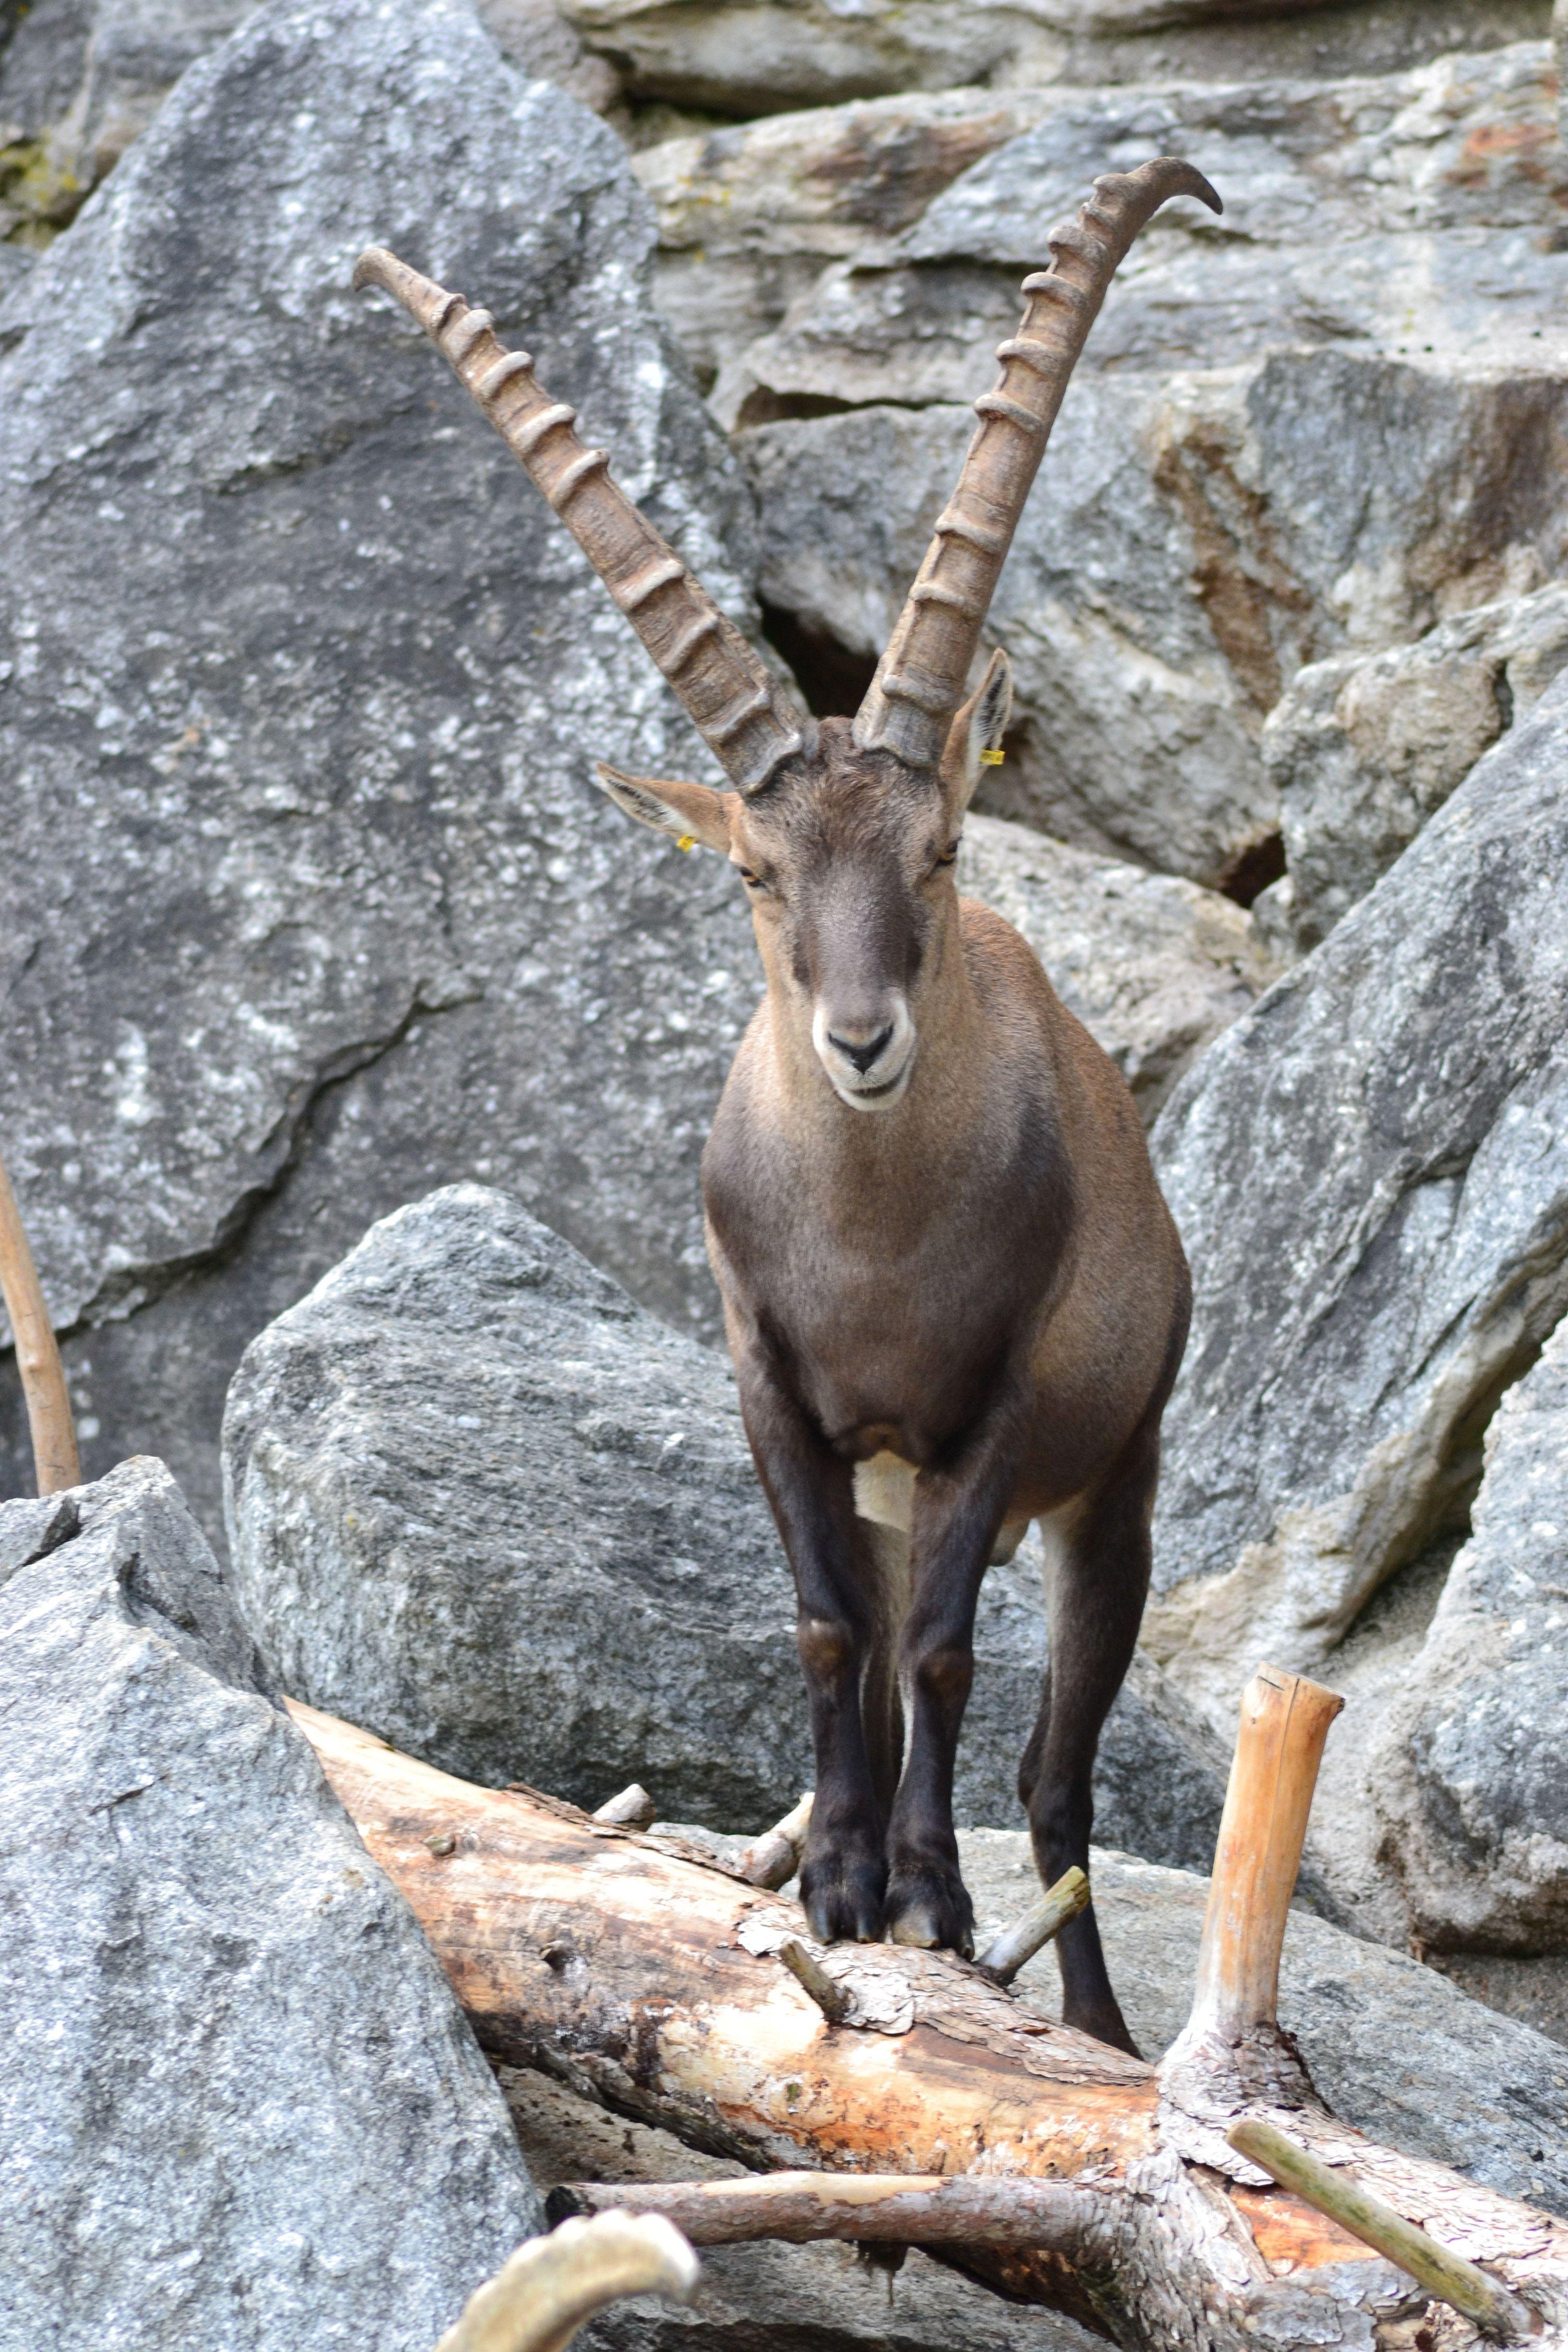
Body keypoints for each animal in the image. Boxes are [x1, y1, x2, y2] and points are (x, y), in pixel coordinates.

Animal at [355, 153, 1216, 2051]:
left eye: (943, 848)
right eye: (756, 871)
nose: (863, 1039)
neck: (876, 1247)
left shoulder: (992, 1408)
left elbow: (949, 1658)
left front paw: (927, 1905)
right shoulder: (776, 1384)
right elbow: (832, 1638)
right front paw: (830, 1887)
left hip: (1113, 1481)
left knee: (1055, 1774)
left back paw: (1090, 2020)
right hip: (892, 1479)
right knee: (894, 1672)